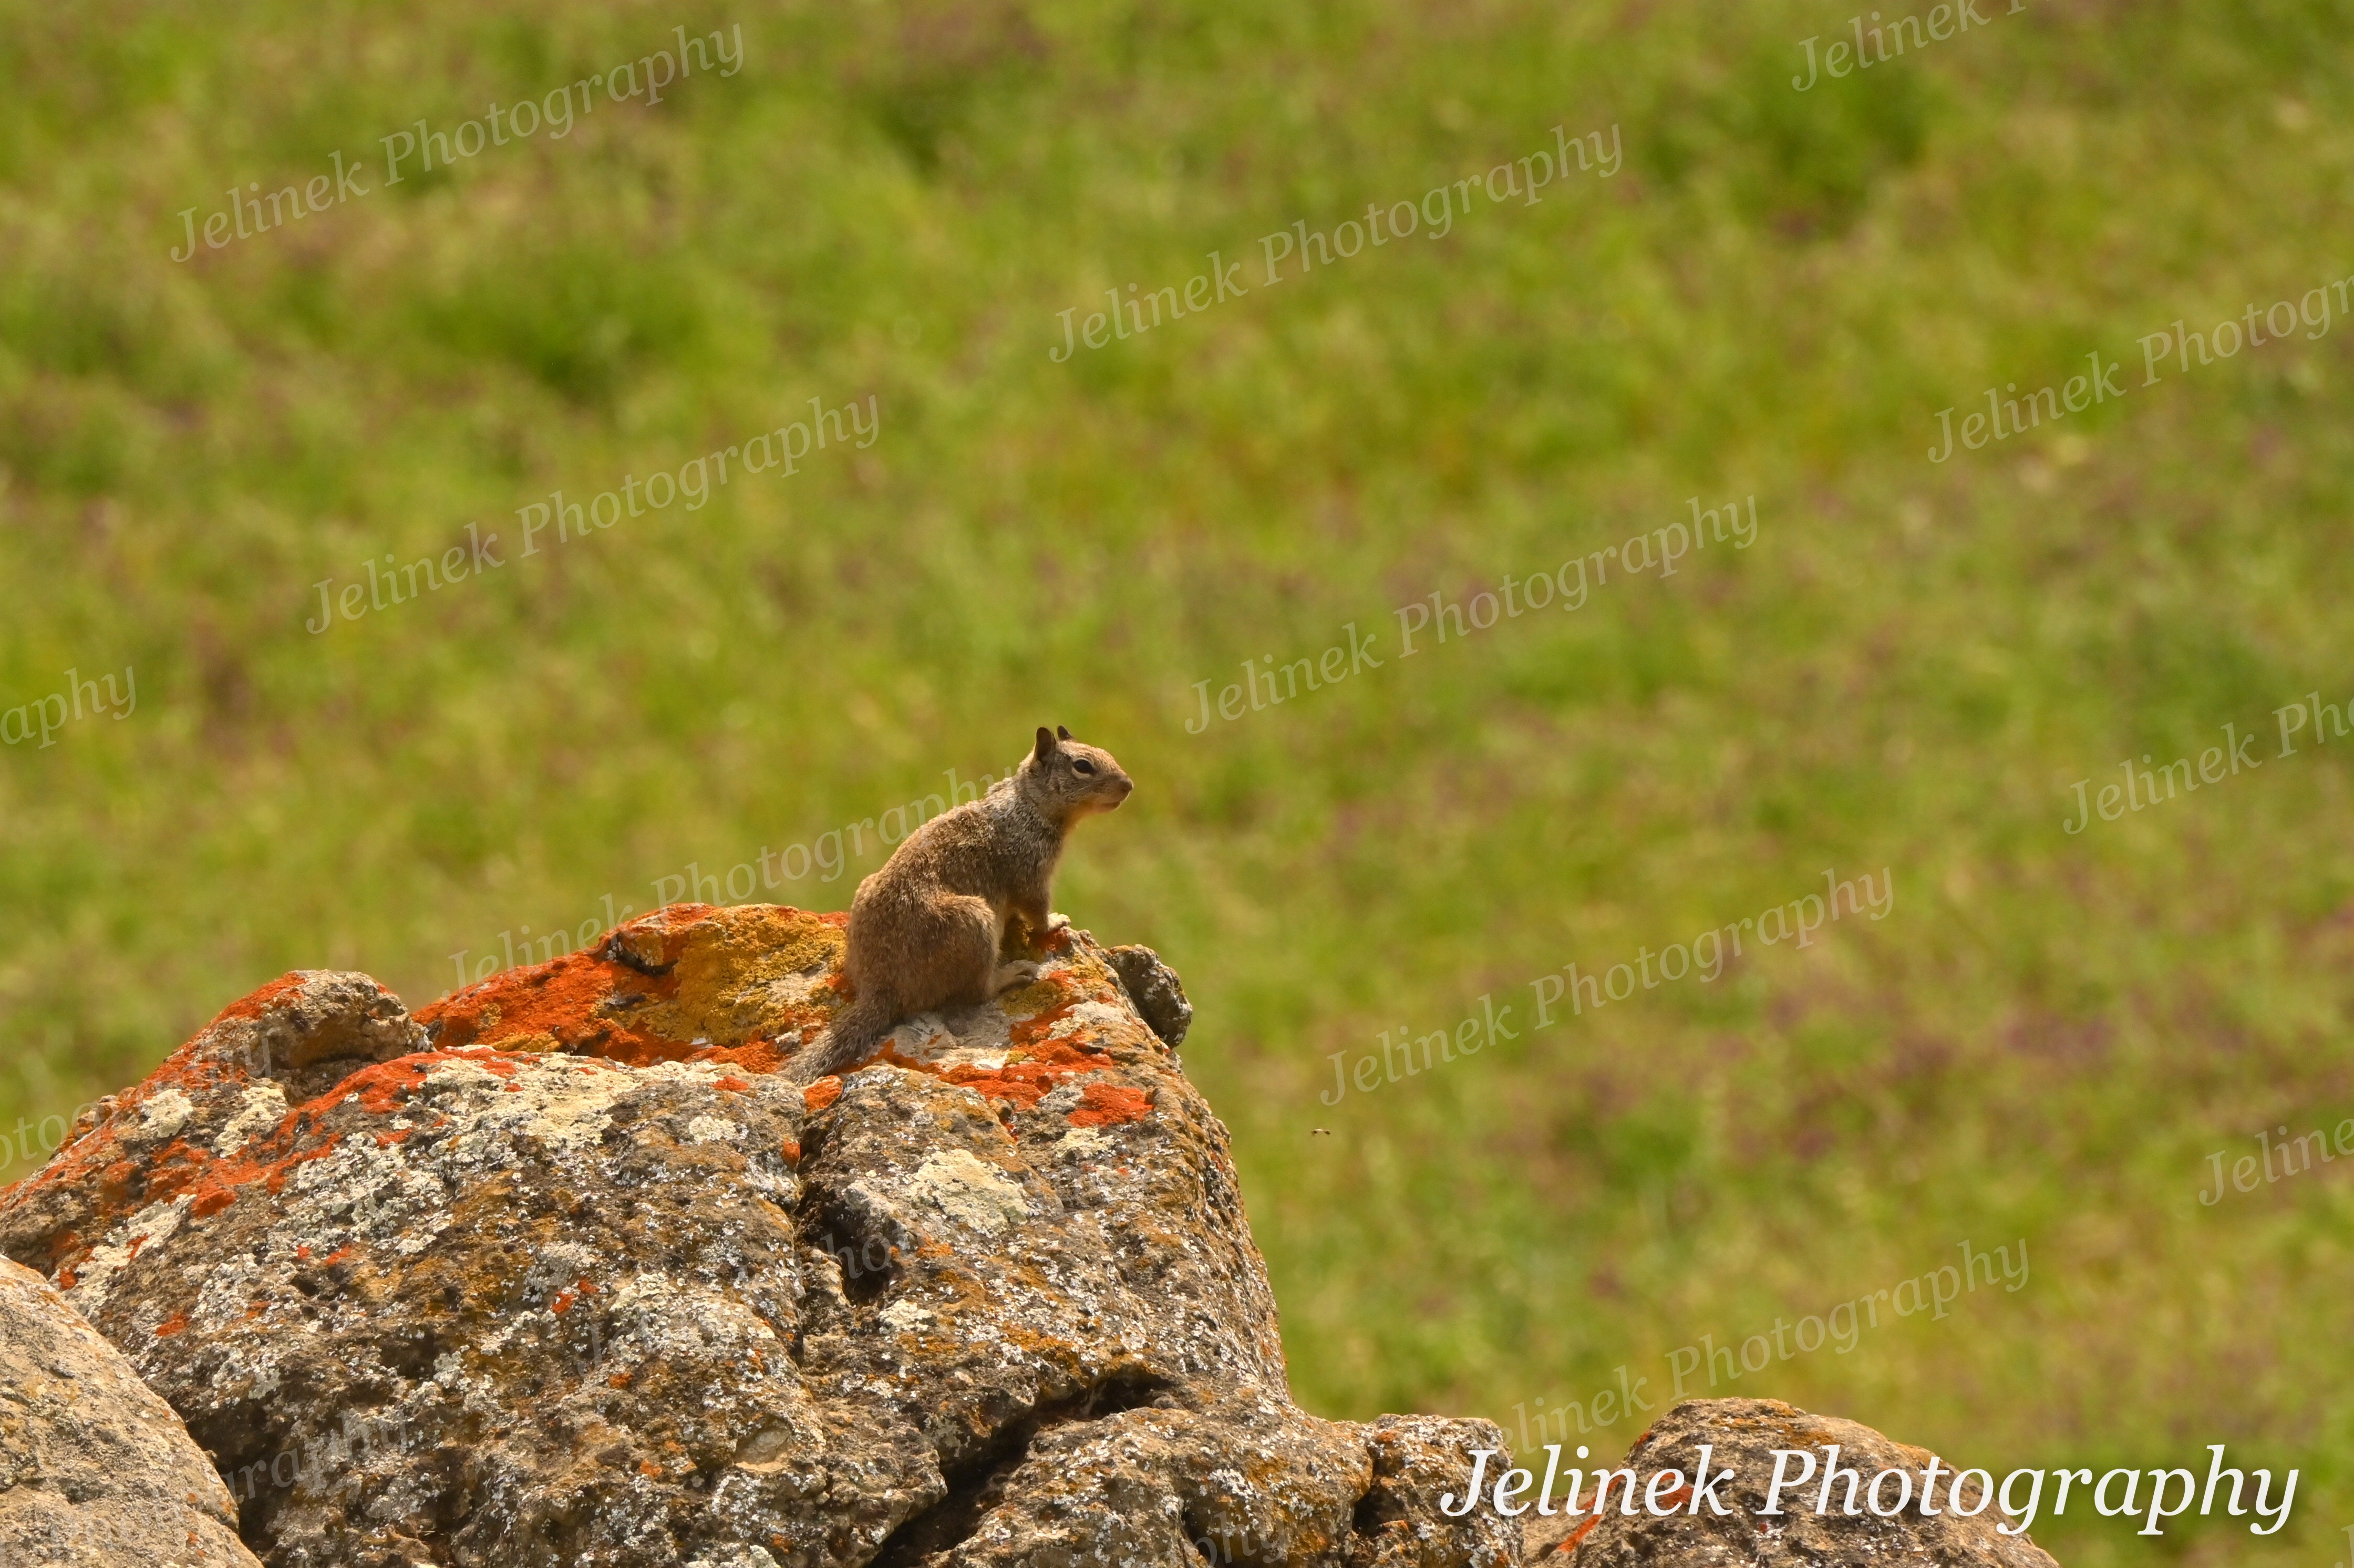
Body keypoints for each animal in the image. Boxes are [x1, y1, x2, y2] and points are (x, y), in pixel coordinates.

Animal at [786, 725, 1134, 1084]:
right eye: (1083, 766)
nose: (1128, 785)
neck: (1029, 804)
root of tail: (881, 988)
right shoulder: (1032, 872)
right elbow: (1037, 910)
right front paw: (1056, 922)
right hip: (974, 922)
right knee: (977, 991)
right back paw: (1011, 974)